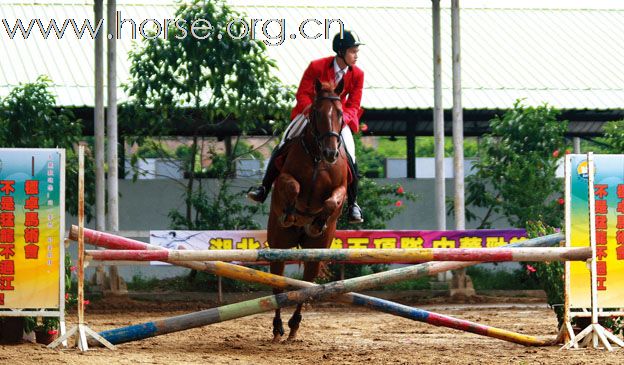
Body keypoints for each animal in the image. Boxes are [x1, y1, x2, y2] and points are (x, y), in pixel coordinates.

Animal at [266, 79, 348, 342]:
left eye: (340, 114)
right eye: (316, 113)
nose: (331, 153)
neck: (316, 158)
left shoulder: (341, 188)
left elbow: (332, 202)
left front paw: (317, 221)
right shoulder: (285, 178)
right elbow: (293, 186)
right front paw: (291, 212)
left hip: (317, 249)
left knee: (308, 285)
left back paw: (293, 326)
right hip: (279, 244)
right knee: (277, 283)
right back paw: (278, 328)